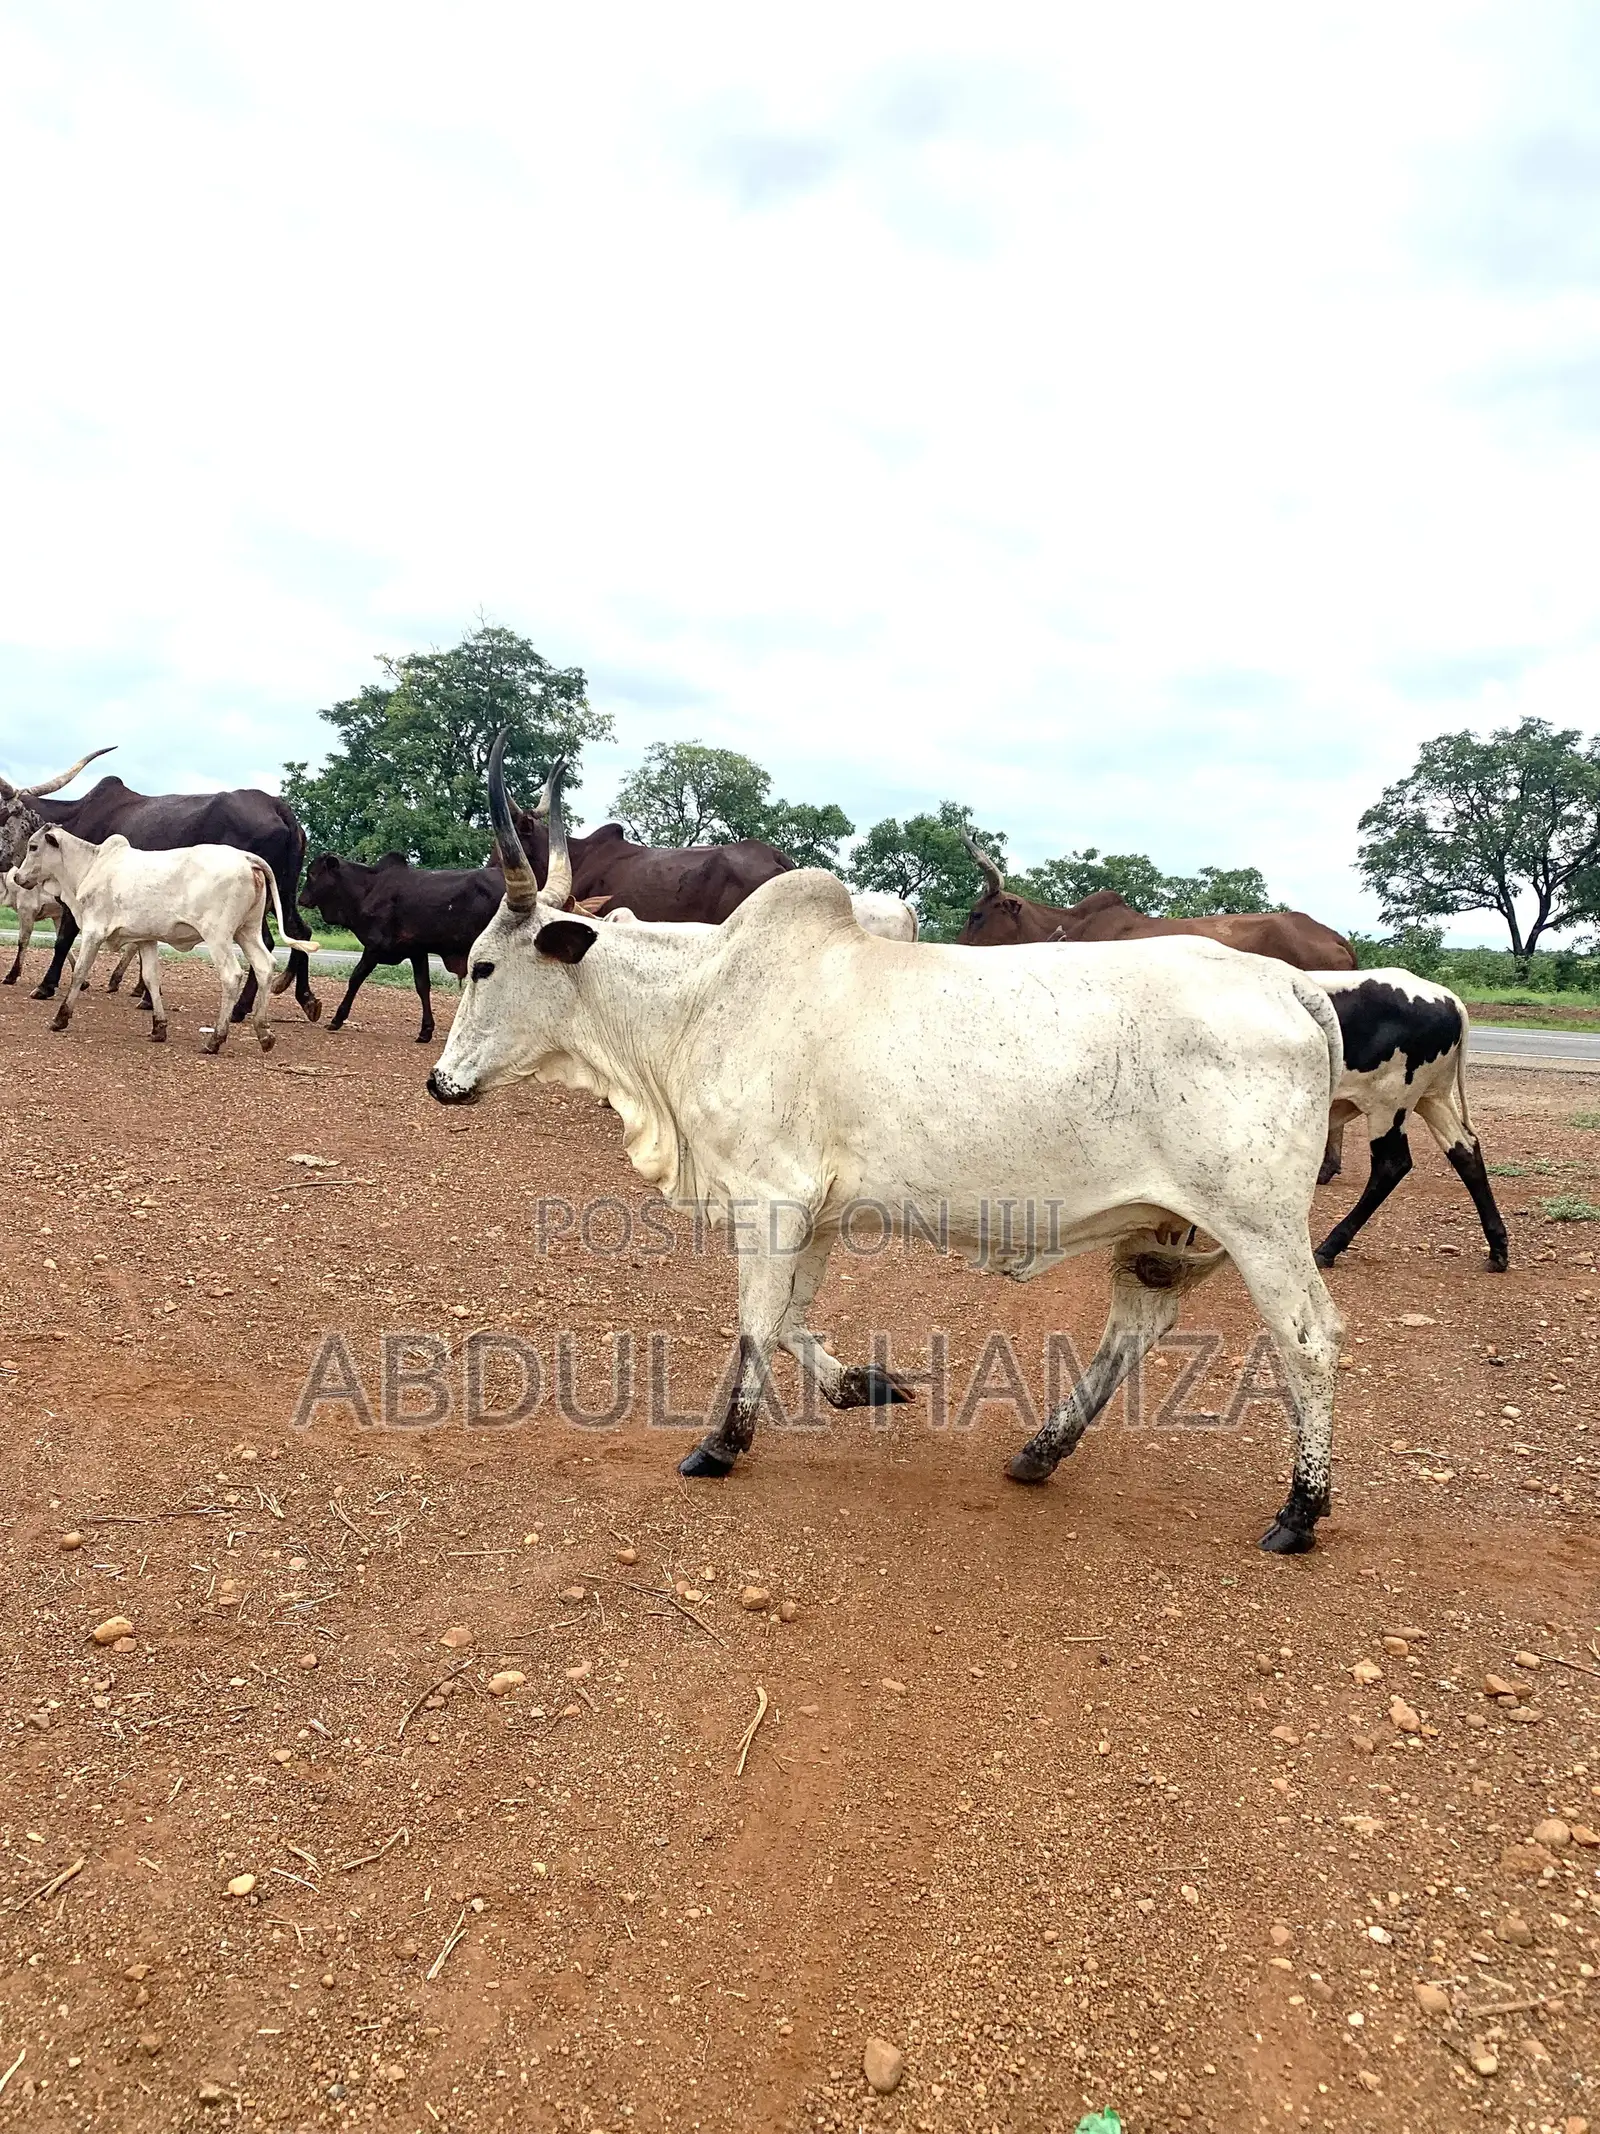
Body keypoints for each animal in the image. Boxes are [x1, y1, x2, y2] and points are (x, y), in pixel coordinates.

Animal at [0, 750, 322, 1022]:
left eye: (2, 815)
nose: (9, 869)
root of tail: (278, 806)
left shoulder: (81, 898)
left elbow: (63, 939)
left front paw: (45, 986)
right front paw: (145, 995)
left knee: (268, 941)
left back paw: (242, 1008)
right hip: (283, 891)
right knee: (299, 931)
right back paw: (305, 998)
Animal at [14, 826, 318, 1053]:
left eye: (33, 846)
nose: (17, 877)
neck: (90, 867)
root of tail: (246, 858)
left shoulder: (93, 931)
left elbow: (78, 973)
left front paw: (60, 1018)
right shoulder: (146, 939)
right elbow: (151, 979)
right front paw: (158, 1028)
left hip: (218, 935)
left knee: (232, 975)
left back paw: (215, 1039)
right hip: (247, 930)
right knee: (265, 966)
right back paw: (263, 1033)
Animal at [300, 853, 506, 1042]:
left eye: (312, 874)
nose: (301, 899)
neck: (367, 889)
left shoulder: (374, 947)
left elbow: (355, 978)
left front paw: (337, 1019)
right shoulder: (417, 951)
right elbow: (422, 986)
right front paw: (425, 1031)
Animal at [1311, 969, 1509, 1273]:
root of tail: (1449, 998)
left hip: (1389, 1104)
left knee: (1391, 1165)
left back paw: (1329, 1247)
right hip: (1433, 1098)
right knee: (1465, 1151)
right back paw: (1498, 1249)